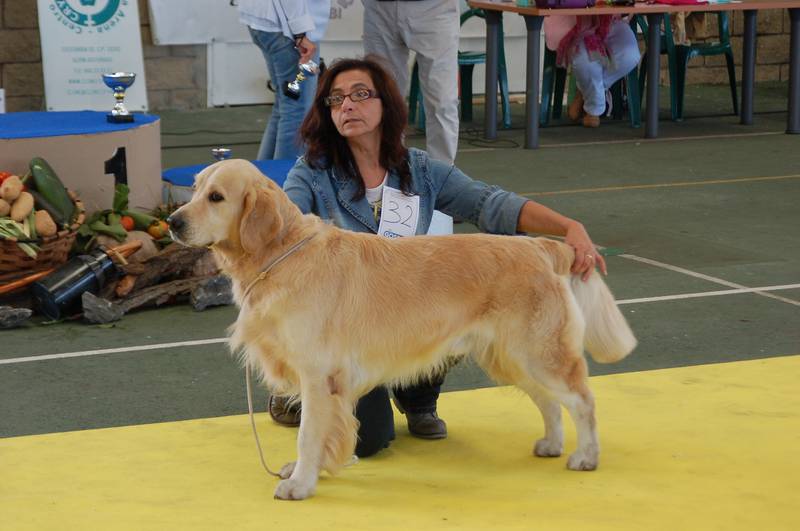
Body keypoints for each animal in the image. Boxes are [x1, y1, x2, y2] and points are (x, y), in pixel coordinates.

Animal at [168, 159, 637, 500]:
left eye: (216, 197)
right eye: (194, 188)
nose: (172, 222)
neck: (280, 255)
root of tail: (540, 245)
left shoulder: (318, 376)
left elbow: (308, 434)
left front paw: (299, 483)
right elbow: (323, 434)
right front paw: (308, 471)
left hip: (539, 351)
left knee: (582, 400)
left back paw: (585, 457)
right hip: (511, 356)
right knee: (550, 403)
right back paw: (552, 444)